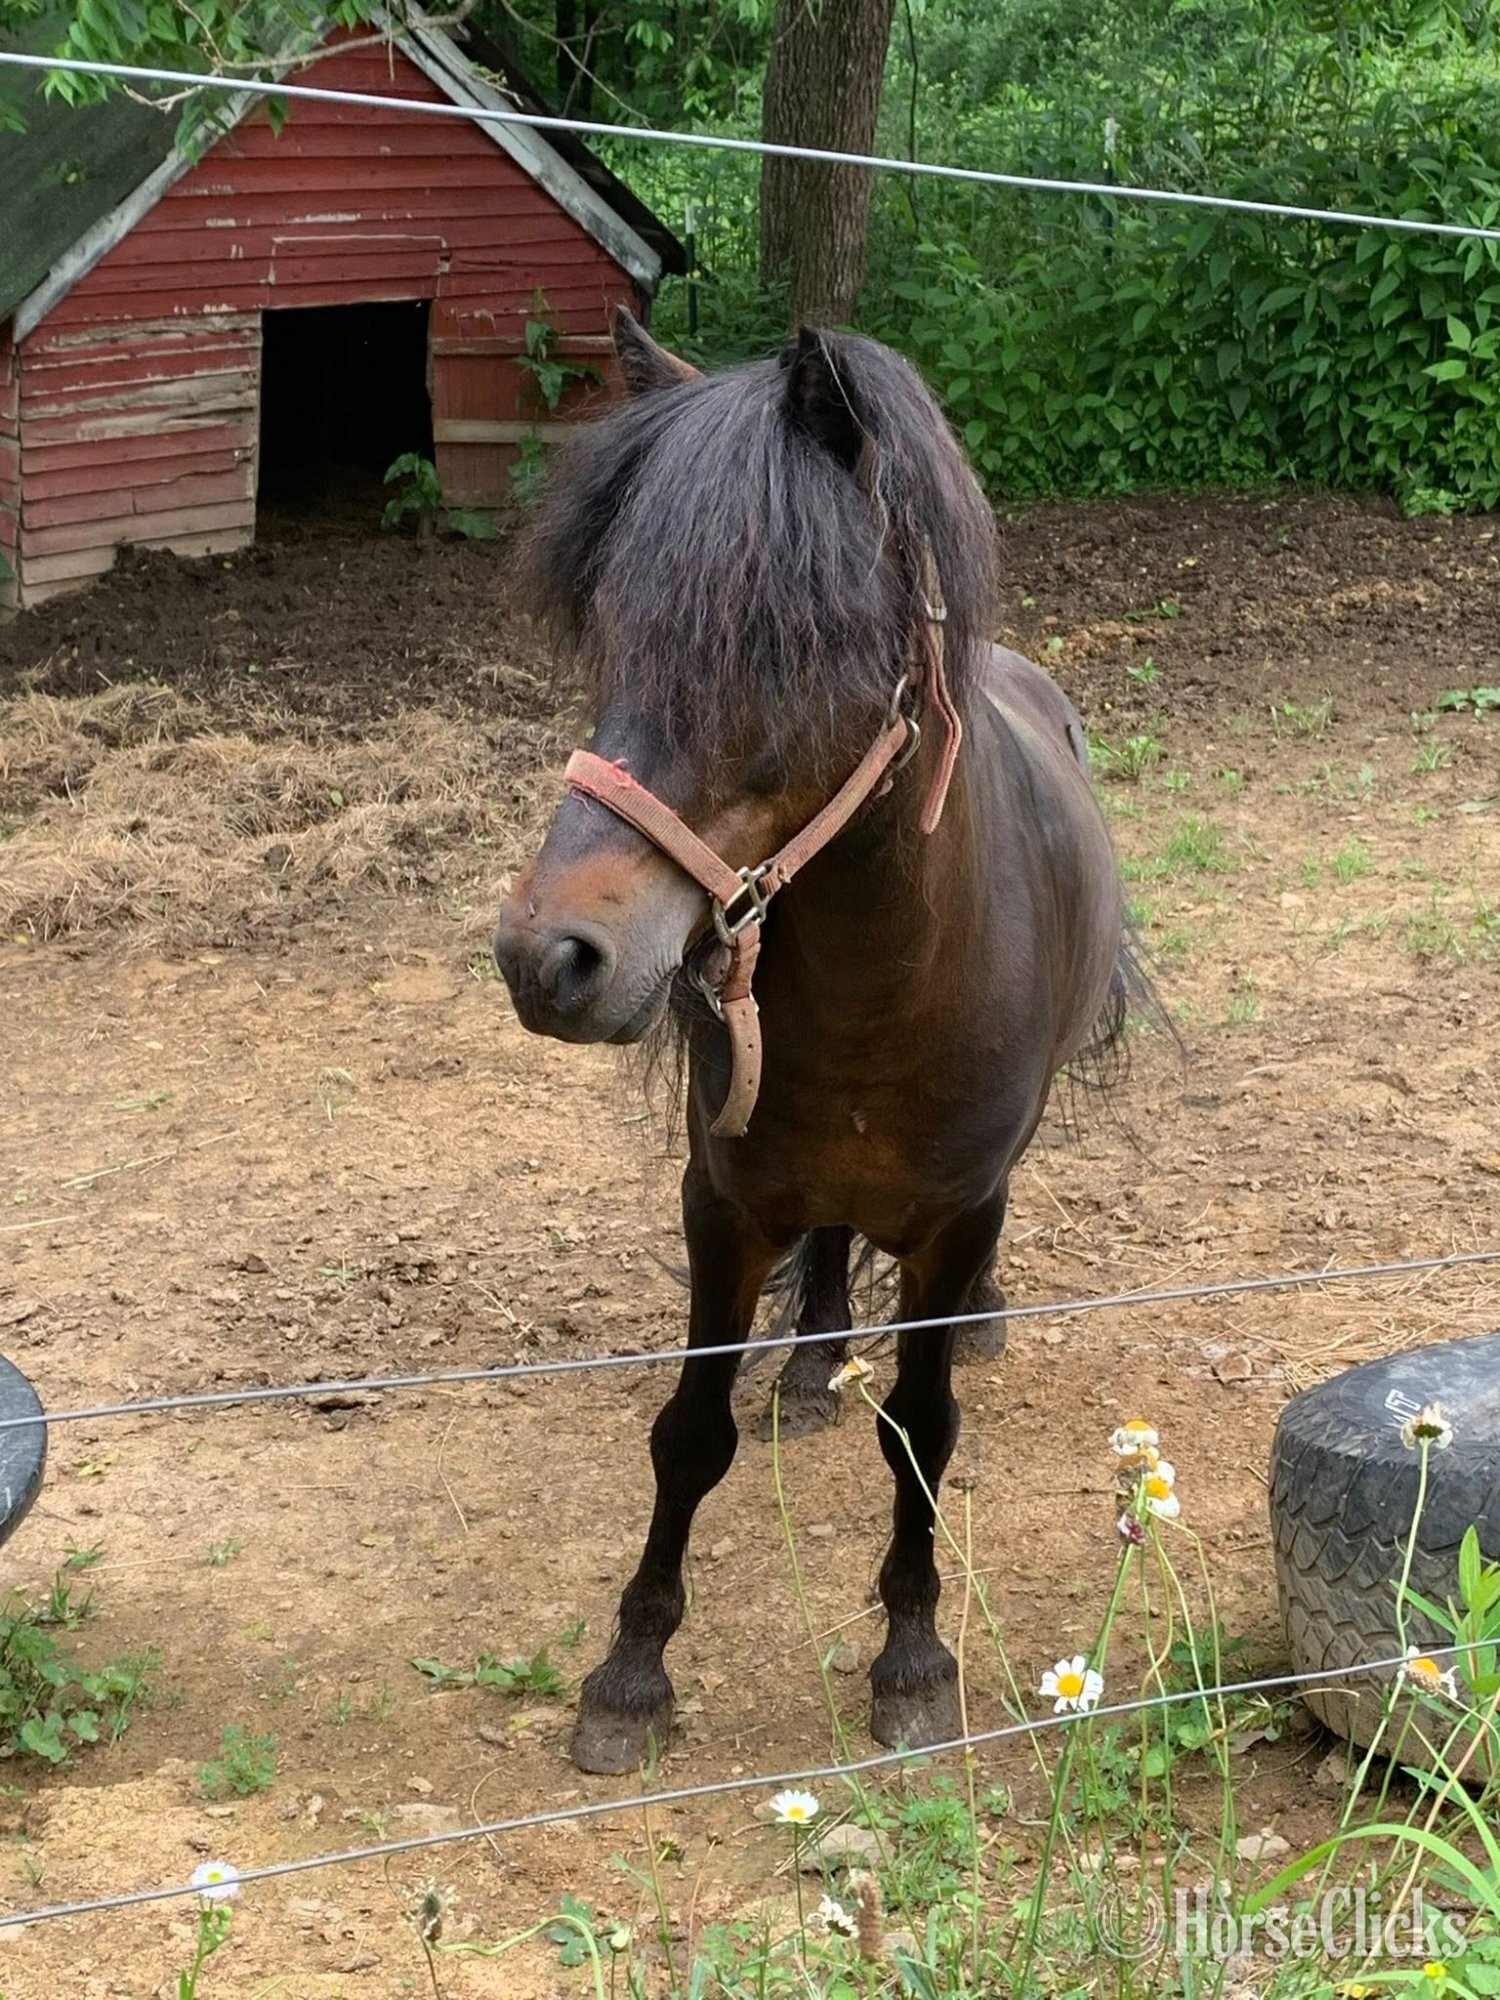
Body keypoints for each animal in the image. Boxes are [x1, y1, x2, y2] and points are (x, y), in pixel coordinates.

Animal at [494, 308, 1133, 1775]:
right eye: (614, 634)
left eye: (782, 644)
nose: (552, 958)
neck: (887, 979)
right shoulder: (720, 1201)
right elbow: (688, 1435)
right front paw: (629, 1675)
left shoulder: (955, 1213)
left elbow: (926, 1435)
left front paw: (913, 1658)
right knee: (833, 1240)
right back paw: (814, 1358)